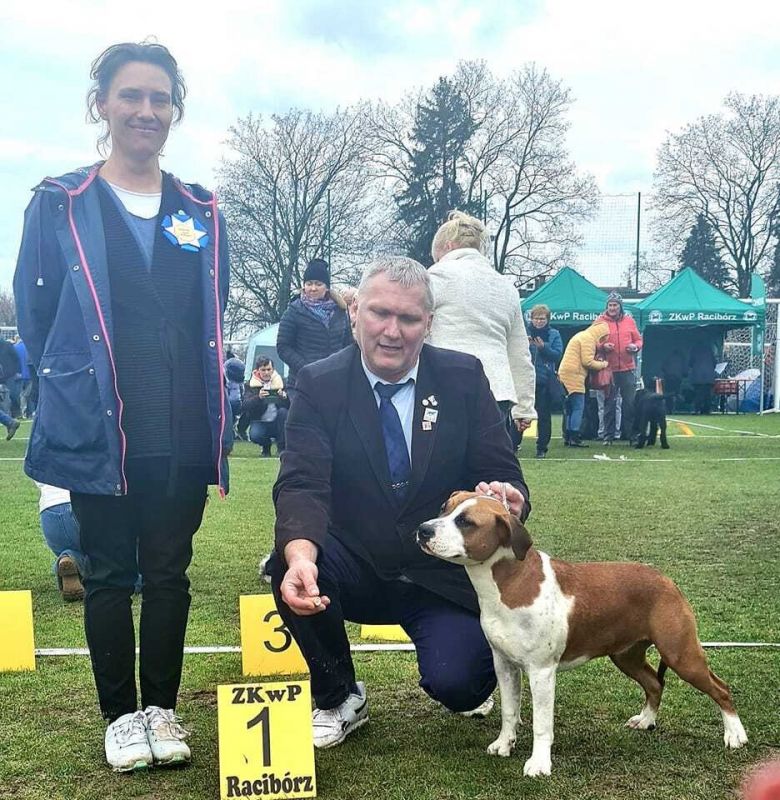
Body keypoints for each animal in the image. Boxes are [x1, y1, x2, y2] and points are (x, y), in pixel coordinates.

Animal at [416, 491, 747, 777]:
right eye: (444, 508)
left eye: (465, 522)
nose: (423, 530)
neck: (510, 580)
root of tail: (668, 581)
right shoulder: (505, 665)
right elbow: (510, 711)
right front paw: (504, 744)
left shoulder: (541, 672)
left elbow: (541, 723)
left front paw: (539, 764)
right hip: (626, 656)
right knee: (654, 682)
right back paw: (646, 720)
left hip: (681, 654)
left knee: (720, 688)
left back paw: (735, 735)